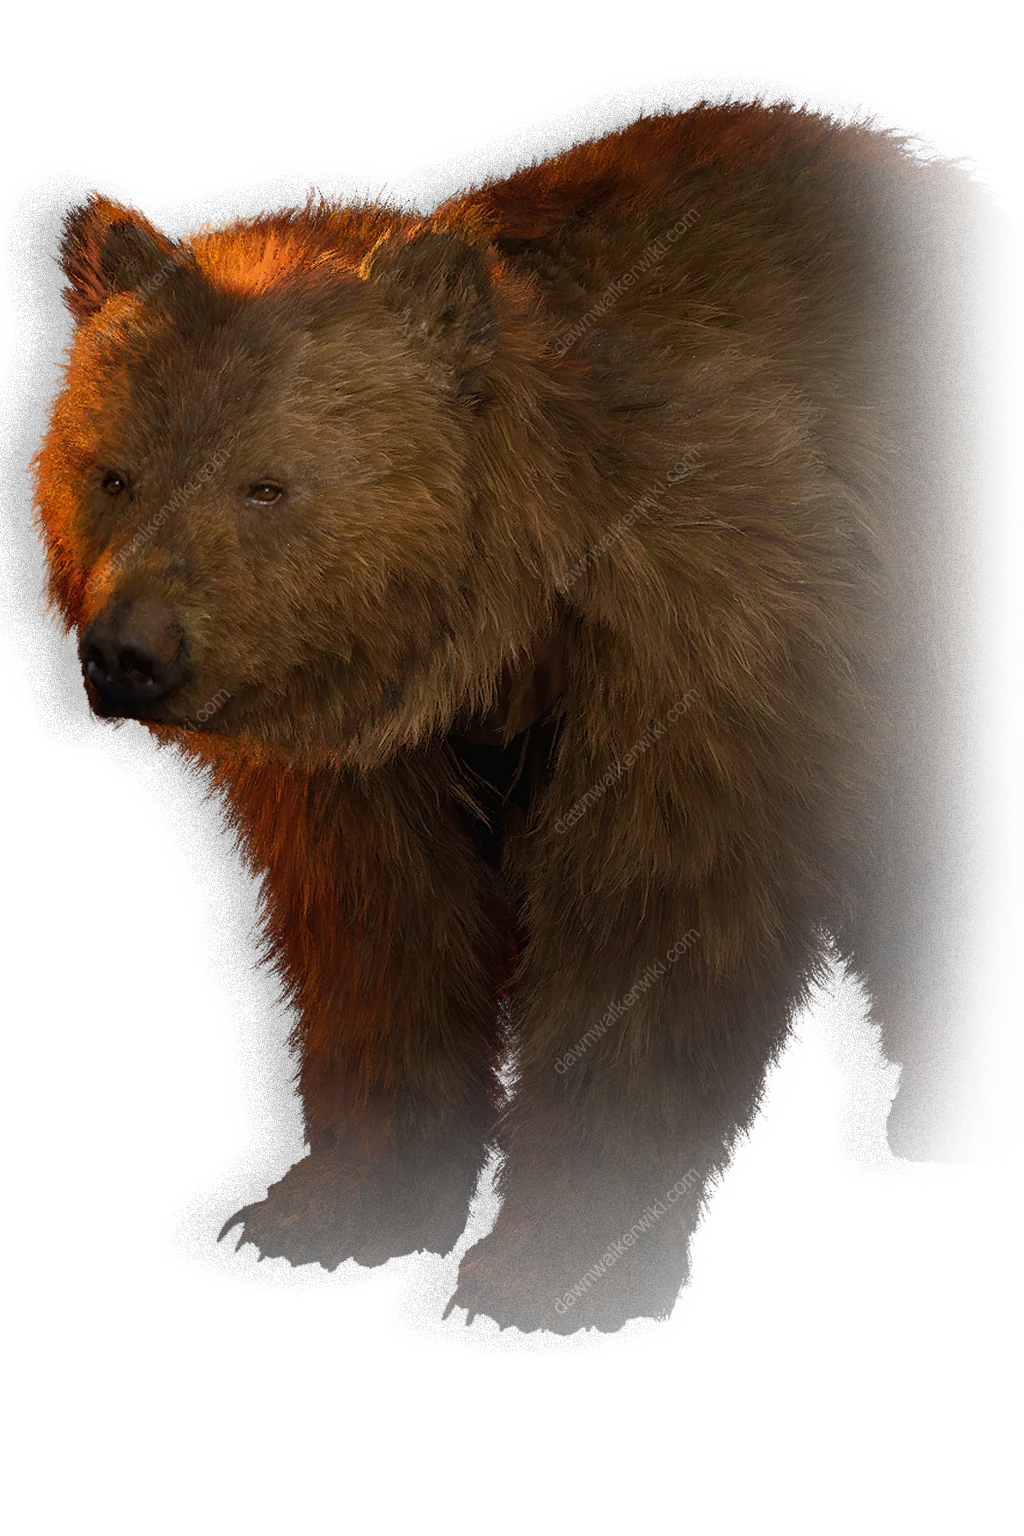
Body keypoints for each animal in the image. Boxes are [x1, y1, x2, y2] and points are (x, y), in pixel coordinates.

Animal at [31, 98, 1022, 1333]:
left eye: (267, 485)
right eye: (111, 472)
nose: (130, 652)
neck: (505, 622)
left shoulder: (711, 649)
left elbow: (649, 936)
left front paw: (547, 1264)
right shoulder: (359, 763)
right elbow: (380, 937)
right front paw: (329, 1206)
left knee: (963, 865)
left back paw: (967, 1104)